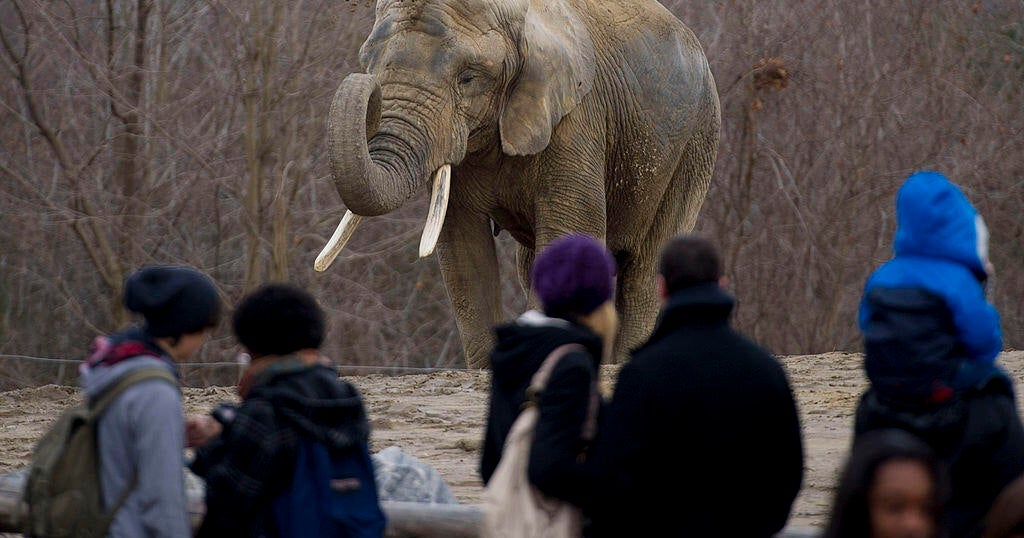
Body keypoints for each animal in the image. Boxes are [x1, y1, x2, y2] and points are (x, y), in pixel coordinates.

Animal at [315, 0, 721, 368]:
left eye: (468, 78)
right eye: (368, 60)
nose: (366, 85)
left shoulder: (577, 120)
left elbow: (567, 234)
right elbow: (464, 250)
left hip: (696, 143)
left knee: (645, 271)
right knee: (529, 266)